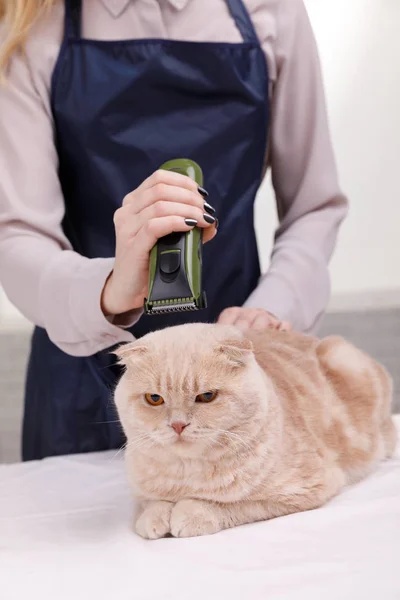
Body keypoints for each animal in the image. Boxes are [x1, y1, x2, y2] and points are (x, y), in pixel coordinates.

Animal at [113, 324, 396, 540]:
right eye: (154, 399)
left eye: (206, 396)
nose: (178, 424)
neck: (187, 476)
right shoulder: (142, 490)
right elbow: (149, 504)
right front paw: (154, 516)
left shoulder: (304, 489)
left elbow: (231, 505)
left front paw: (190, 513)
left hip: (343, 358)